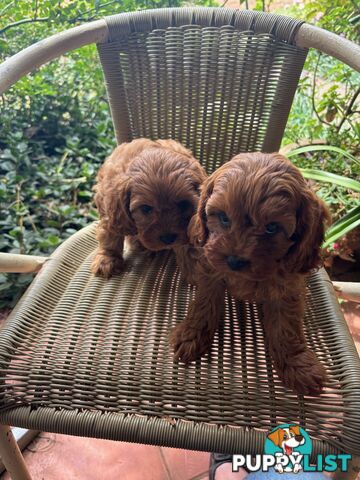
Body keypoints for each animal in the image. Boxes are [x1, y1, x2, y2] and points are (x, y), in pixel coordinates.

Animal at [91, 138, 207, 278]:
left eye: (183, 204)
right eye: (145, 209)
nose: (168, 238)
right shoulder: (111, 210)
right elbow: (110, 235)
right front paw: (108, 260)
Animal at [170, 152, 330, 396]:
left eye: (272, 227)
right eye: (224, 218)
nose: (234, 261)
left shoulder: (287, 288)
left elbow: (286, 326)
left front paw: (297, 364)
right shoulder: (211, 272)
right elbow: (204, 305)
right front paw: (191, 335)